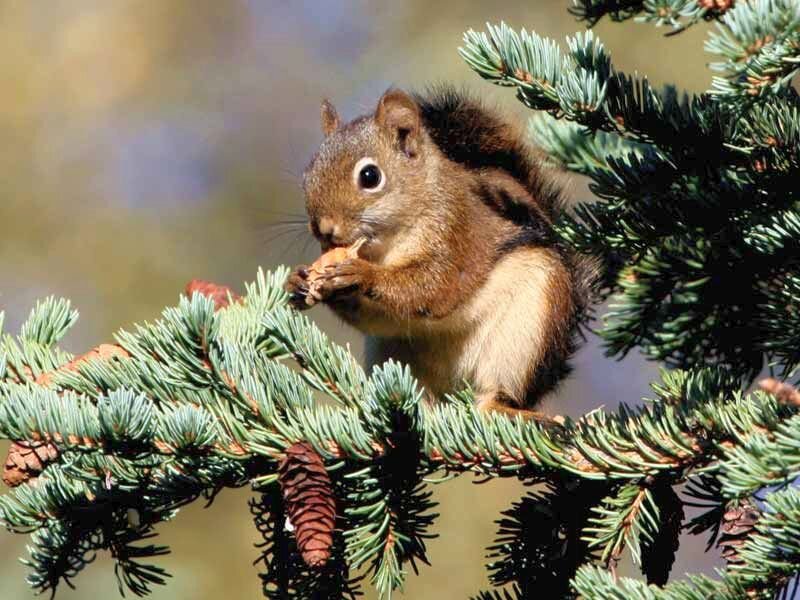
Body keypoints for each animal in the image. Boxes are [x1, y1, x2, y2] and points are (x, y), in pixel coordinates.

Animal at [285, 86, 595, 418]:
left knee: (497, 396)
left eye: (370, 176)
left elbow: (435, 286)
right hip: (390, 351)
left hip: (527, 330)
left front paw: (361, 275)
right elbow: (376, 317)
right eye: (308, 173)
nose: (323, 229)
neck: (387, 247)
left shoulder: (457, 232)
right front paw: (298, 282)